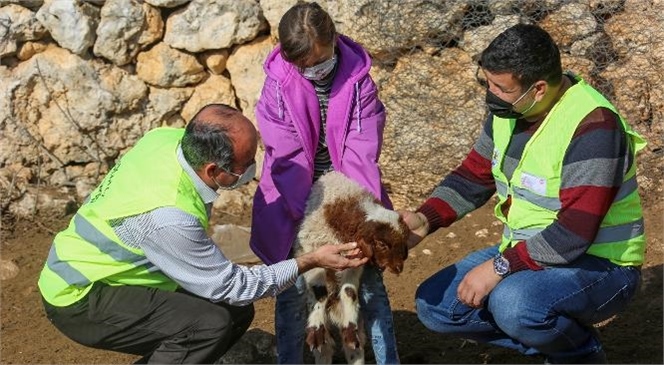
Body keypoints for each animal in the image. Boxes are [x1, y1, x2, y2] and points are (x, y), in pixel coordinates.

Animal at [294, 171, 410, 364]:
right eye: (381, 244)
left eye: (403, 242)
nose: (398, 268)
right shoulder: (312, 250)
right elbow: (319, 292)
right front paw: (316, 330)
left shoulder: (353, 263)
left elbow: (349, 292)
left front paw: (350, 330)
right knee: (324, 350)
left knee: (354, 350)